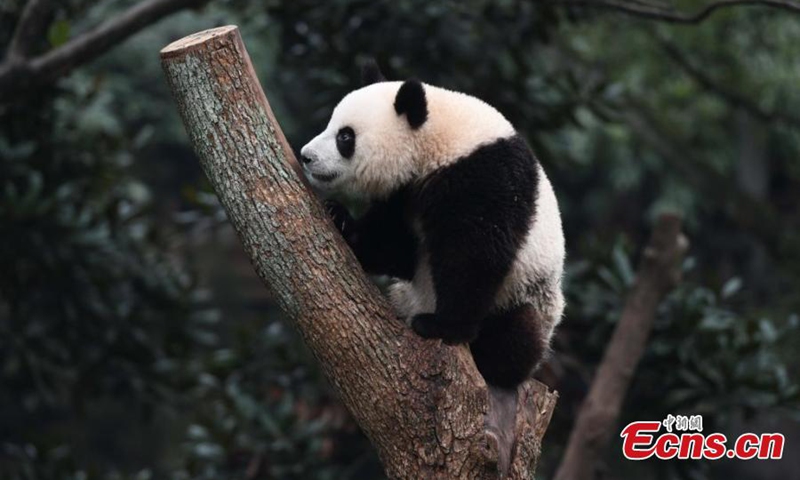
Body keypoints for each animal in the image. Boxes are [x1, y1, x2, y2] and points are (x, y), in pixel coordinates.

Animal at [300, 61, 565, 390]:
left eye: (345, 137)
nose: (306, 156)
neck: (437, 139)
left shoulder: (486, 177)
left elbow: (475, 255)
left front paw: (443, 327)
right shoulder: (402, 193)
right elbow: (396, 251)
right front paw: (339, 218)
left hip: (526, 295)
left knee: (520, 329)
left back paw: (495, 362)